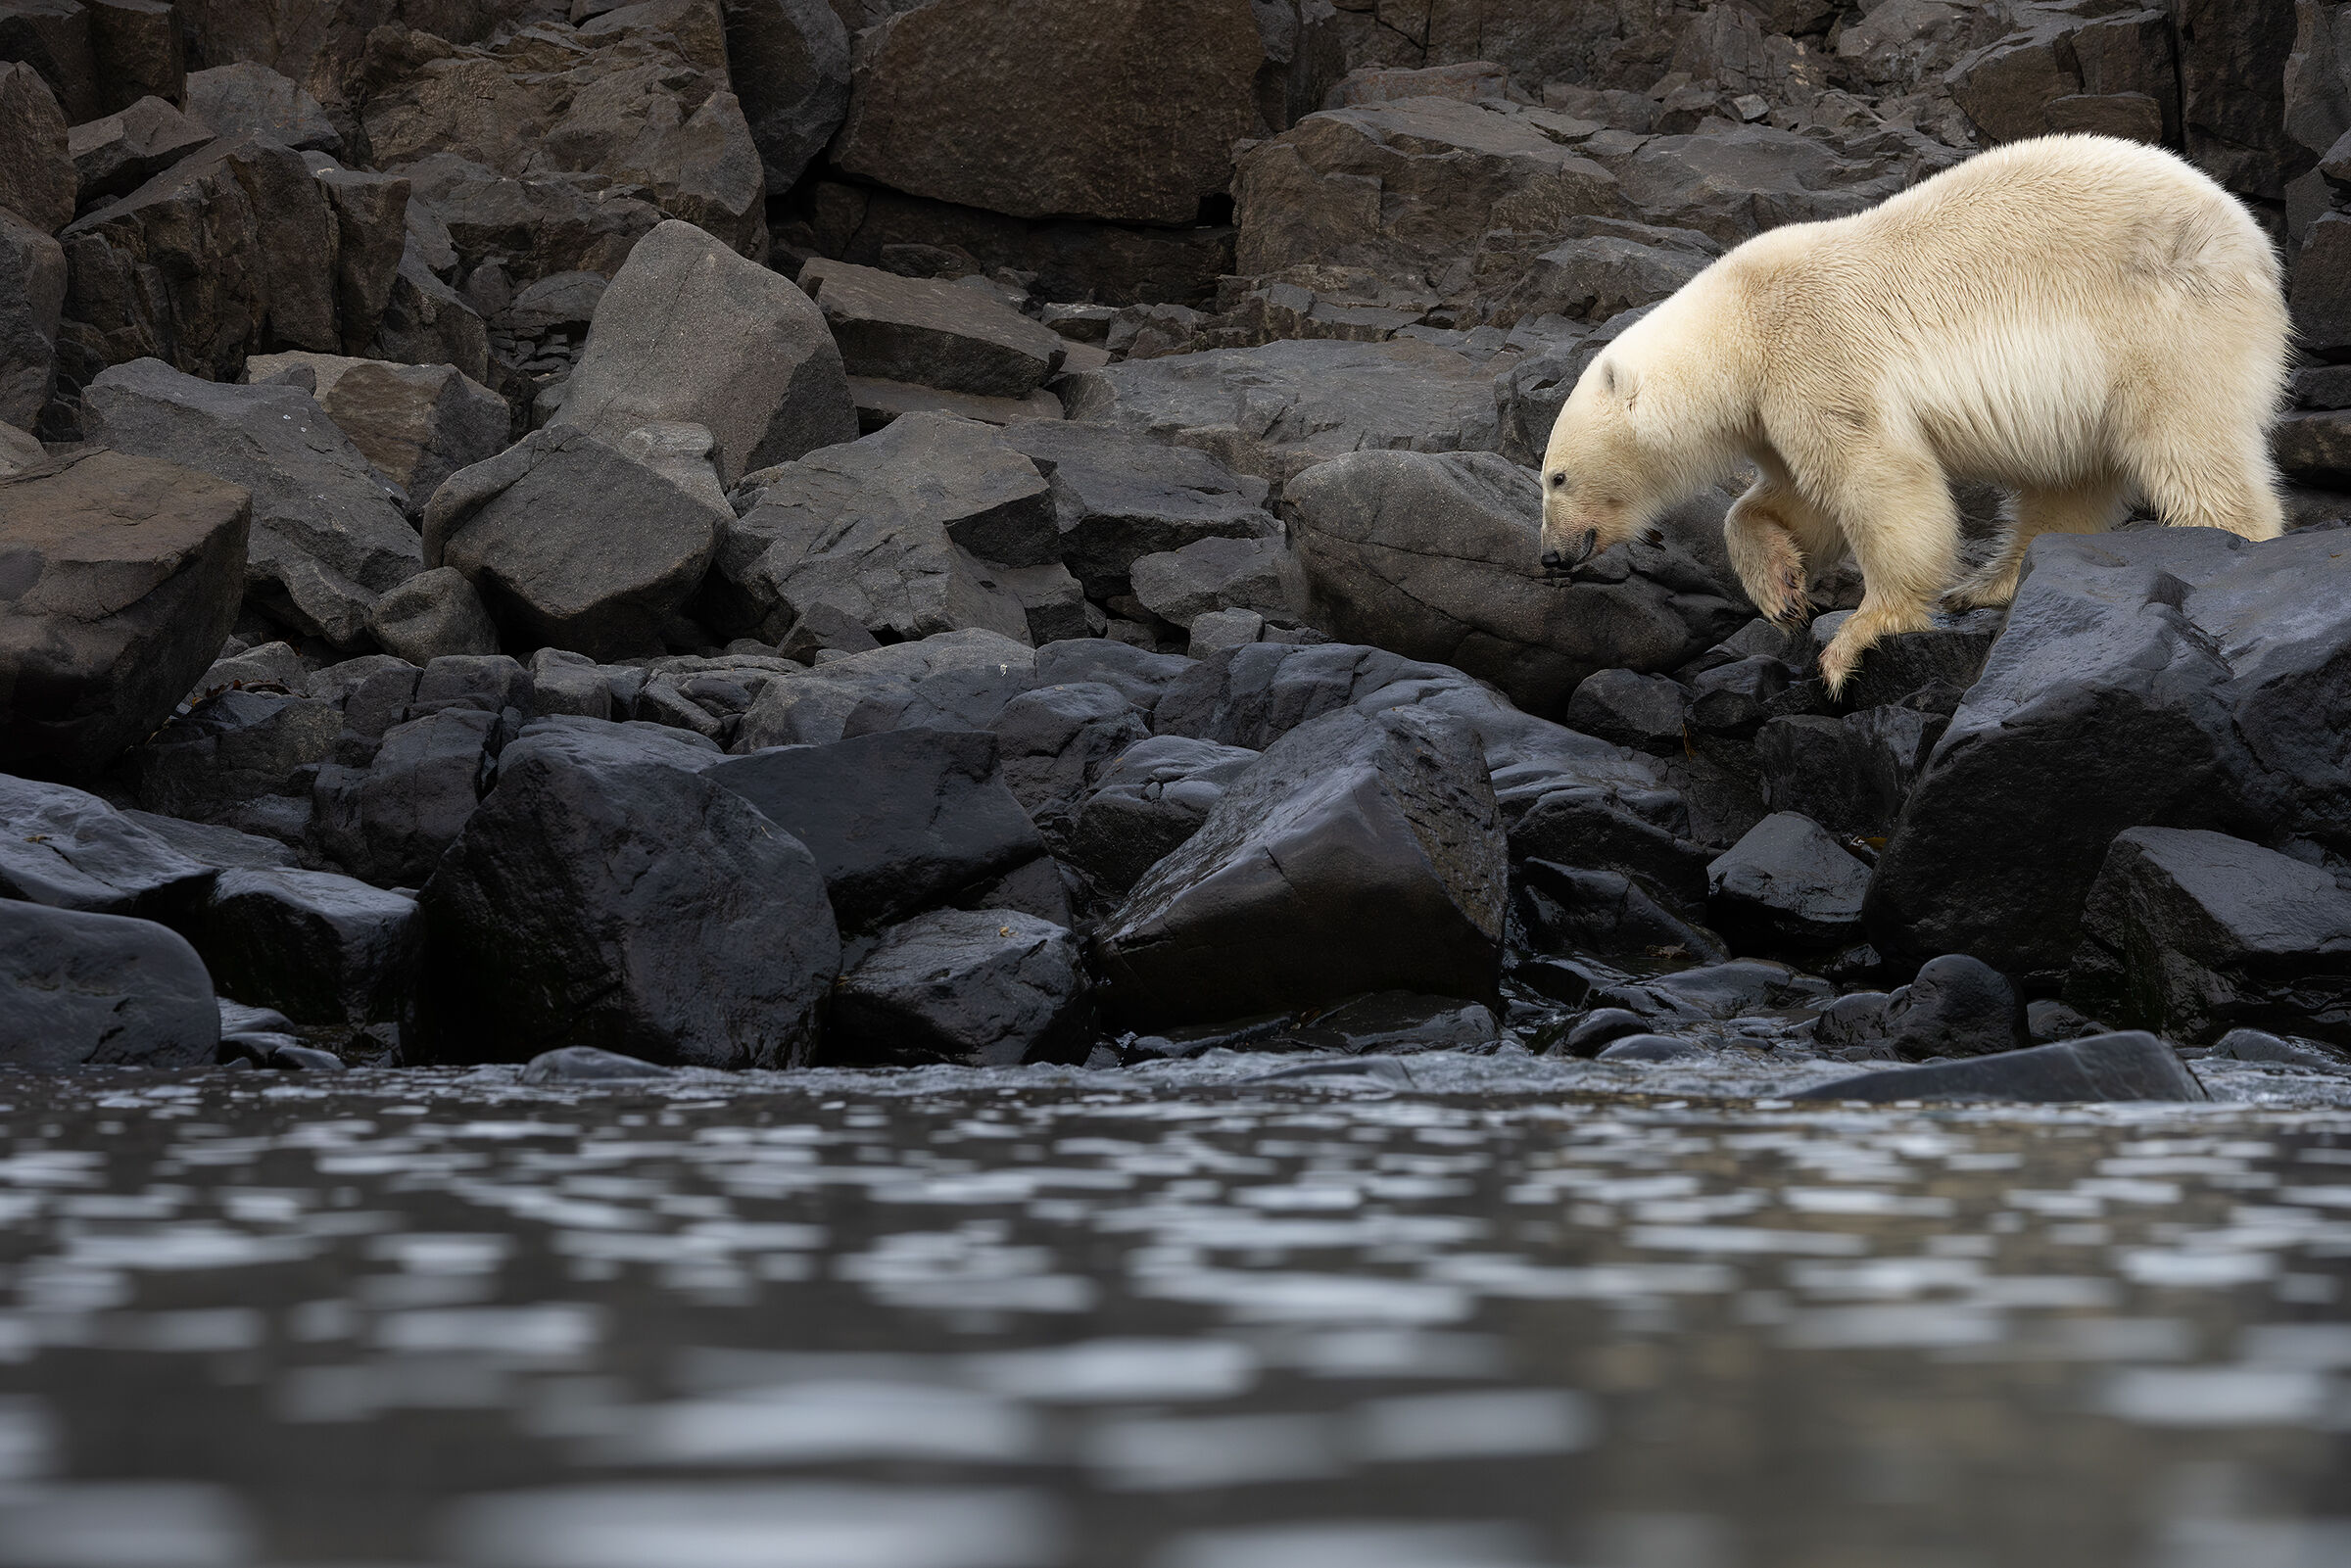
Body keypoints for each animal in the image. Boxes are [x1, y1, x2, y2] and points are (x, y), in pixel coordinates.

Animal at [1536, 133, 2288, 697]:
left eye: (1556, 477)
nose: (1550, 554)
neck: (1742, 323)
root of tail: (2255, 242)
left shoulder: (1817, 354)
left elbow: (1880, 479)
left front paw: (1857, 635)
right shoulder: (1773, 408)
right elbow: (1796, 501)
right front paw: (1781, 590)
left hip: (2169, 323)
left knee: (2190, 448)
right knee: (2064, 485)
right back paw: (1985, 586)